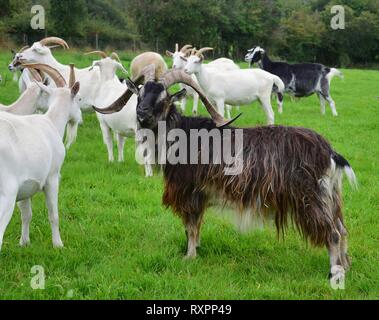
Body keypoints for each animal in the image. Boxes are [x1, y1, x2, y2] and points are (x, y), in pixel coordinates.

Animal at [0, 63, 82, 251]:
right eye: (79, 99)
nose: (80, 119)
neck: (51, 122)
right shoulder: (52, 177)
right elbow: (53, 214)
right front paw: (58, 245)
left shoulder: (25, 186)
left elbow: (26, 214)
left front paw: (24, 242)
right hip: (6, 194)